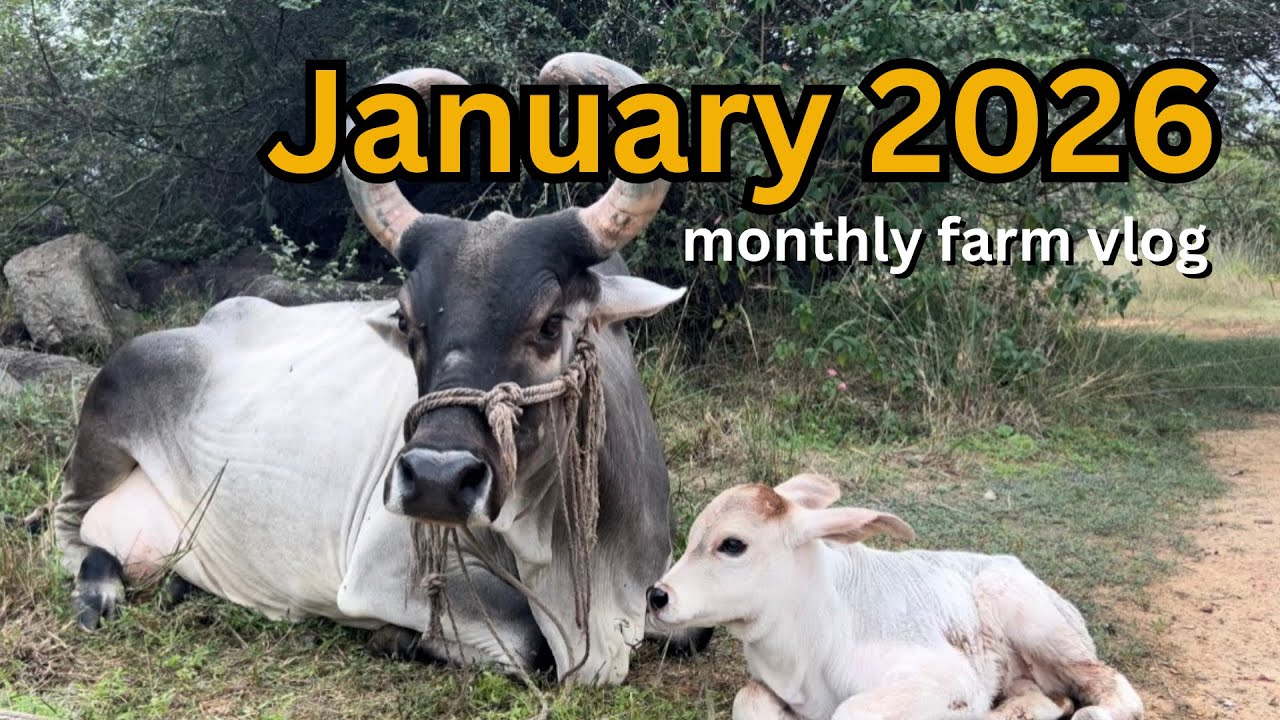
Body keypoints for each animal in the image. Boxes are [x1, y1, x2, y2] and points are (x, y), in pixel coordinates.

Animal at [53, 52, 707, 686]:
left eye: (551, 323)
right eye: (406, 319)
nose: (437, 478)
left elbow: (693, 631)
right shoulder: (387, 575)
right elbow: (529, 645)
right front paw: (399, 638)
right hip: (105, 414)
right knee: (69, 528)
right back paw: (100, 588)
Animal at [646, 474, 1146, 720]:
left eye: (733, 544)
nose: (657, 595)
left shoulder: (948, 681)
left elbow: (853, 711)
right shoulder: (767, 690)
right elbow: (747, 698)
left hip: (1043, 629)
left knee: (1109, 686)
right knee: (1049, 698)